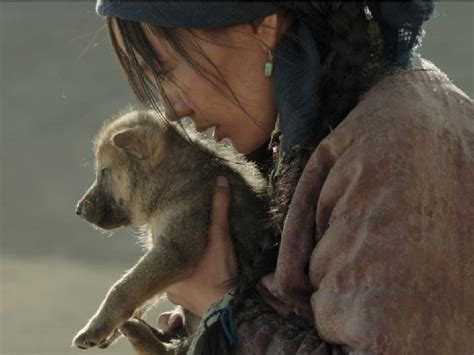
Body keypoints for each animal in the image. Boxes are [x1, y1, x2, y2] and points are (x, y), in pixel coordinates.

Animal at [70, 110, 270, 354]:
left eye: (104, 172)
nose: (78, 210)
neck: (171, 182)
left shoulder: (173, 251)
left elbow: (123, 288)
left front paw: (95, 329)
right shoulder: (162, 255)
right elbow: (140, 293)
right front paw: (110, 330)